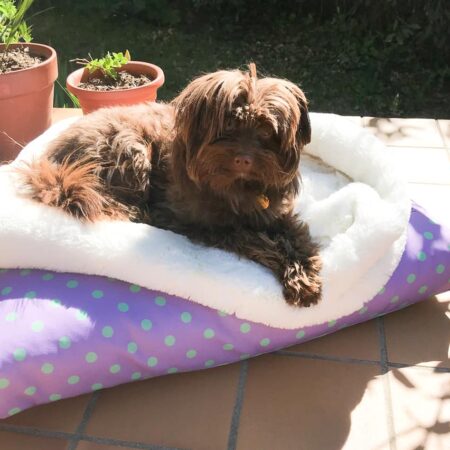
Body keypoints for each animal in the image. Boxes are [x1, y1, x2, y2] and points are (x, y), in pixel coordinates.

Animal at [16, 64, 320, 306]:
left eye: (267, 130)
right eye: (229, 125)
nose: (244, 159)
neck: (237, 187)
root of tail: (53, 156)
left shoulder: (276, 213)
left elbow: (297, 238)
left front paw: (304, 274)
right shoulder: (212, 227)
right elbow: (257, 240)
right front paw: (292, 269)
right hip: (130, 149)